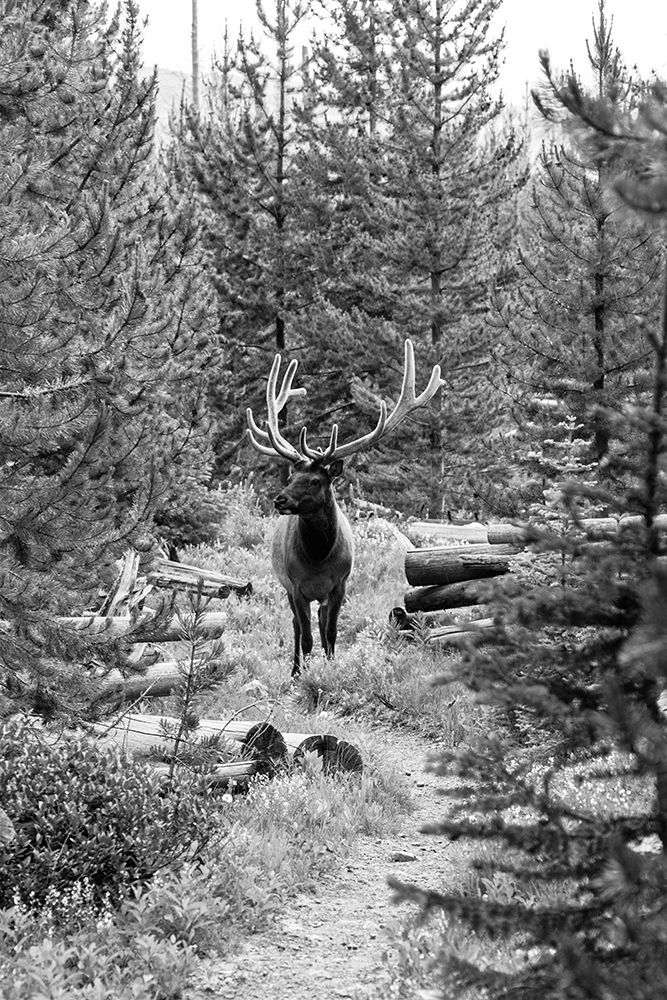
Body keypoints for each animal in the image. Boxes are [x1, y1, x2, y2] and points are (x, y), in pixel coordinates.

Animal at [246, 339, 443, 675]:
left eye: (315, 481)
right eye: (291, 476)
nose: (279, 500)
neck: (318, 557)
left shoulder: (339, 584)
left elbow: (331, 632)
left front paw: (331, 667)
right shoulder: (296, 587)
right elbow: (306, 636)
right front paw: (306, 675)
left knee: (320, 622)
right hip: (287, 586)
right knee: (296, 627)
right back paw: (294, 670)